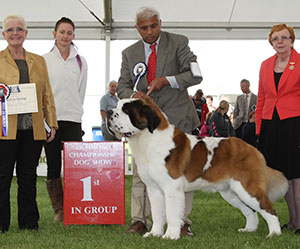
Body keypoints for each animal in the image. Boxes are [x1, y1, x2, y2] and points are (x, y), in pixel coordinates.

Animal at [106, 95, 290, 239]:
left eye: (126, 110)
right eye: (117, 106)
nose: (108, 112)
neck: (148, 139)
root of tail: (252, 149)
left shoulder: (172, 188)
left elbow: (171, 213)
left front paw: (170, 236)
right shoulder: (154, 189)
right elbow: (158, 213)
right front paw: (154, 234)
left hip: (247, 188)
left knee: (268, 209)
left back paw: (274, 234)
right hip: (231, 193)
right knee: (250, 211)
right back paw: (249, 230)